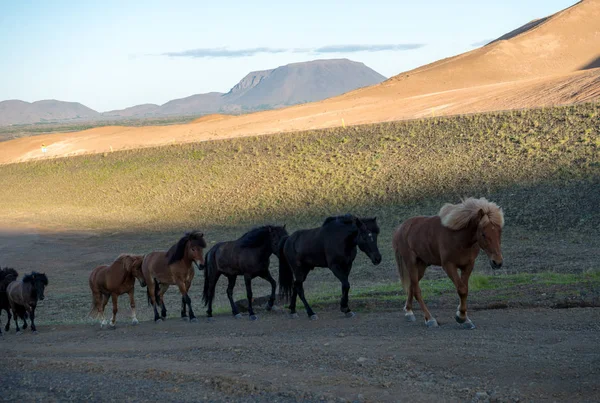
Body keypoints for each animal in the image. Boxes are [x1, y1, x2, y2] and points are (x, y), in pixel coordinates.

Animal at [392, 197, 504, 330]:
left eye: (499, 232)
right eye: (483, 234)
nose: (497, 262)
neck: (458, 238)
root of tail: (401, 228)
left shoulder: (468, 265)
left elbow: (465, 289)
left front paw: (463, 315)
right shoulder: (449, 266)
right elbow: (462, 289)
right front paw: (462, 317)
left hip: (422, 265)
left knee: (412, 287)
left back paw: (409, 311)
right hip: (411, 263)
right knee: (417, 290)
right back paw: (429, 319)